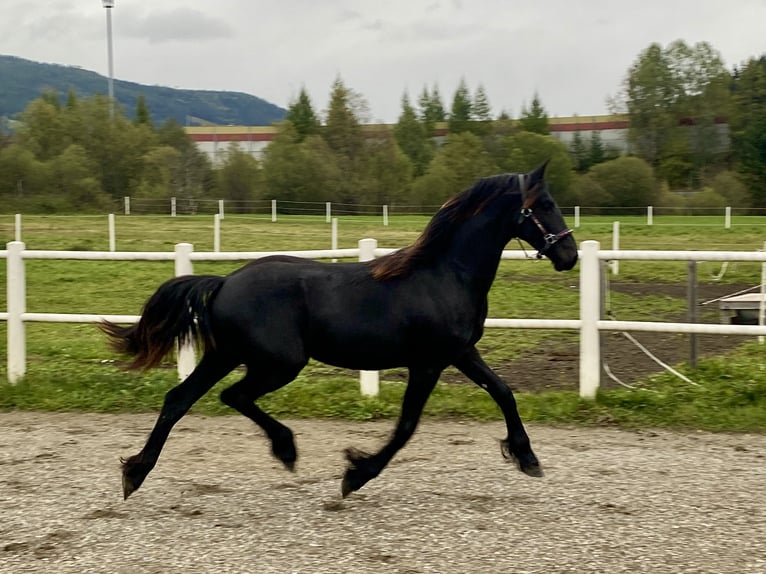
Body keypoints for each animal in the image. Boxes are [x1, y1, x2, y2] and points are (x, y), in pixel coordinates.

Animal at [101, 159, 578, 500]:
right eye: (545, 204)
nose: (569, 255)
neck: (445, 274)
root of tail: (224, 283)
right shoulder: (427, 364)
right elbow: (406, 427)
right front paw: (356, 474)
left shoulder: (461, 354)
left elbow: (503, 392)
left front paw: (527, 457)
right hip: (277, 363)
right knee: (231, 396)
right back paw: (285, 449)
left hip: (227, 355)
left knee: (179, 400)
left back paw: (135, 473)